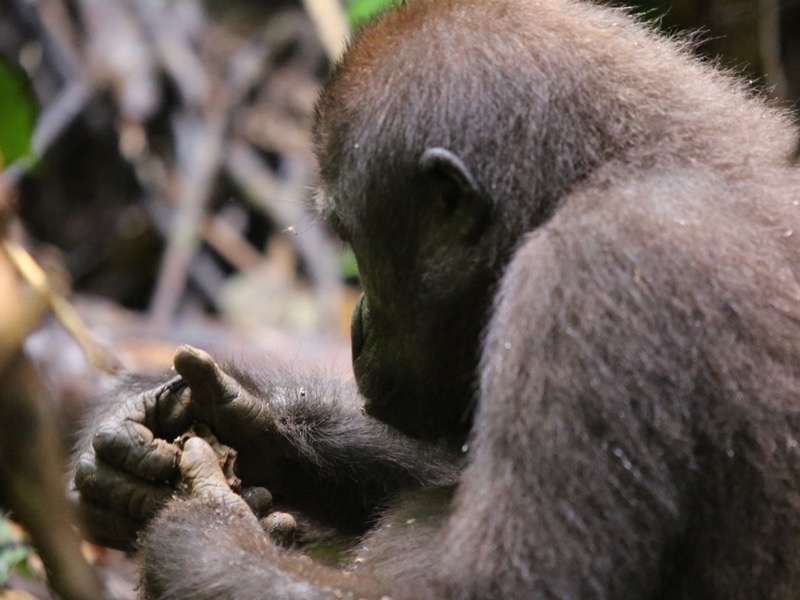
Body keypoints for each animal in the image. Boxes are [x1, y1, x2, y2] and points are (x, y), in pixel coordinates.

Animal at [72, 0, 800, 598]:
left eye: (350, 238)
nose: (357, 327)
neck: (619, 162)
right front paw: (249, 420)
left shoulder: (593, 275)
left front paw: (197, 532)